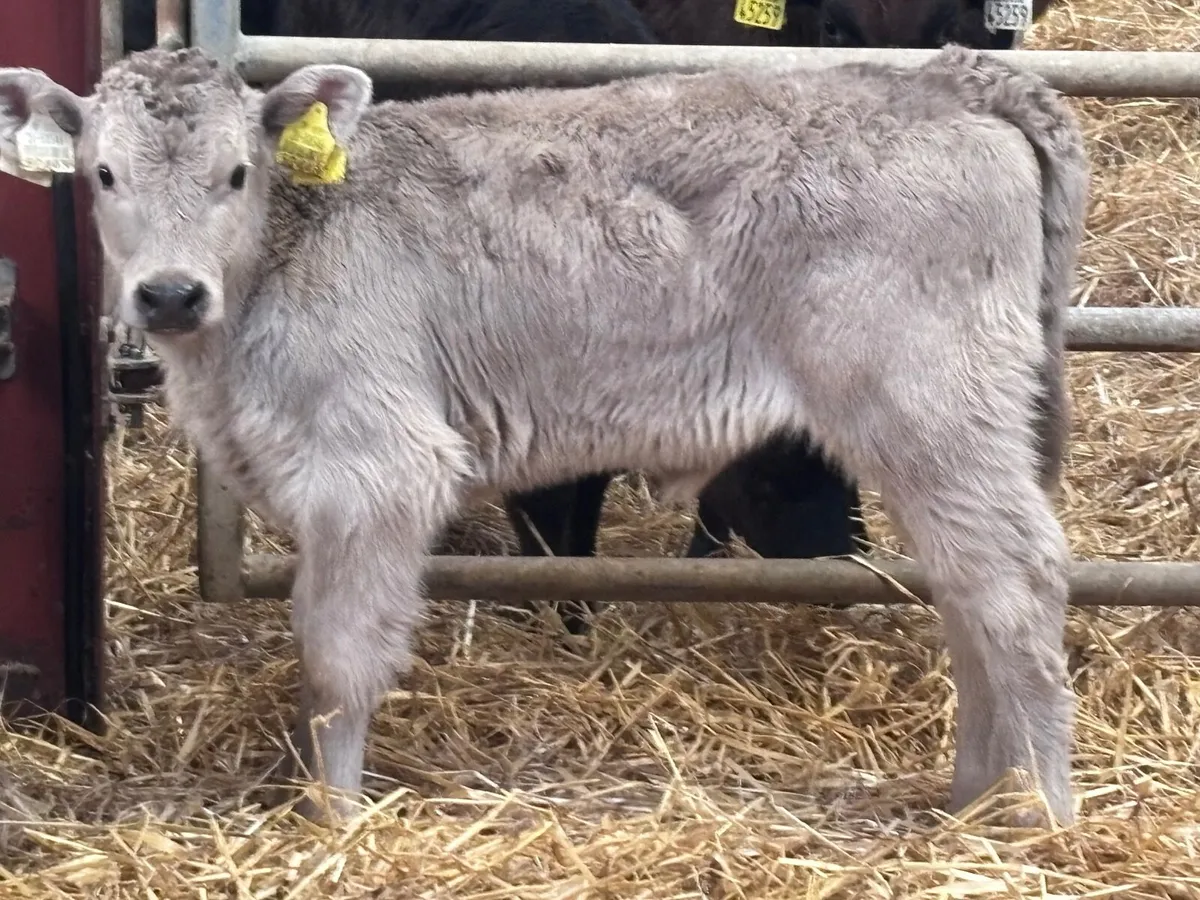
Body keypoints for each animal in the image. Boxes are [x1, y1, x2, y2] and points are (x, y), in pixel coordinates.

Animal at [0, 42, 1087, 825]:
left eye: (234, 173)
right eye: (102, 174)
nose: (168, 294)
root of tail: (944, 76)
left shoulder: (379, 465)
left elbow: (334, 659)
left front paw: (332, 820)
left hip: (931, 404)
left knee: (1017, 582)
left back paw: (1040, 813)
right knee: (967, 589)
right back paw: (975, 799)